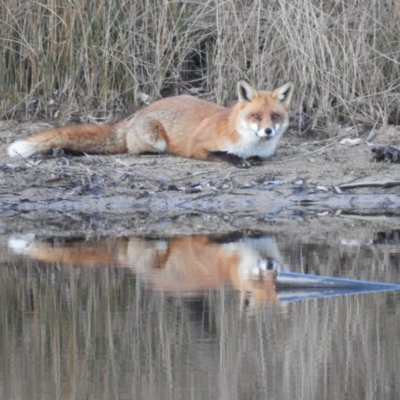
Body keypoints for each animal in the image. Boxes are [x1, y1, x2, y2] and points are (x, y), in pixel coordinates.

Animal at [7, 79, 294, 167]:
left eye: (274, 116)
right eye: (255, 116)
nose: (268, 130)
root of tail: (135, 115)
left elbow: (257, 158)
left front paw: (251, 159)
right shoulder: (199, 147)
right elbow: (222, 154)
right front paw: (238, 160)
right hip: (156, 141)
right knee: (137, 150)